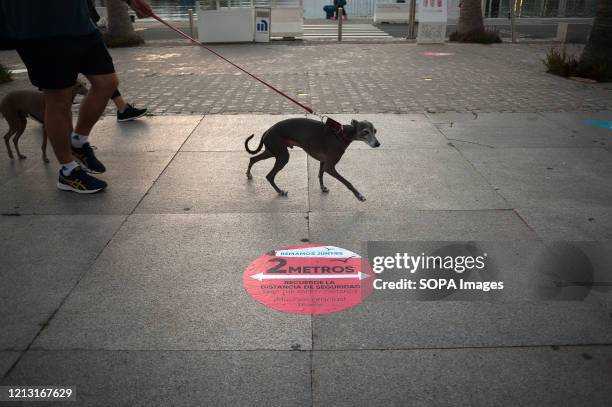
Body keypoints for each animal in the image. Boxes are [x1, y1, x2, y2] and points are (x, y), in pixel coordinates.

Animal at [243, 117, 378, 202]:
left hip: (272, 151)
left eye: (375, 131)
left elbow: (320, 174)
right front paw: (359, 196)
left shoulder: (323, 162)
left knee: (252, 159)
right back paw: (280, 191)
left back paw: (249, 174)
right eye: (365, 132)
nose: (378, 144)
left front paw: (323, 188)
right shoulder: (330, 166)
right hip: (282, 156)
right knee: (269, 175)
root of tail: (267, 131)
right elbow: (347, 182)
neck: (342, 134)